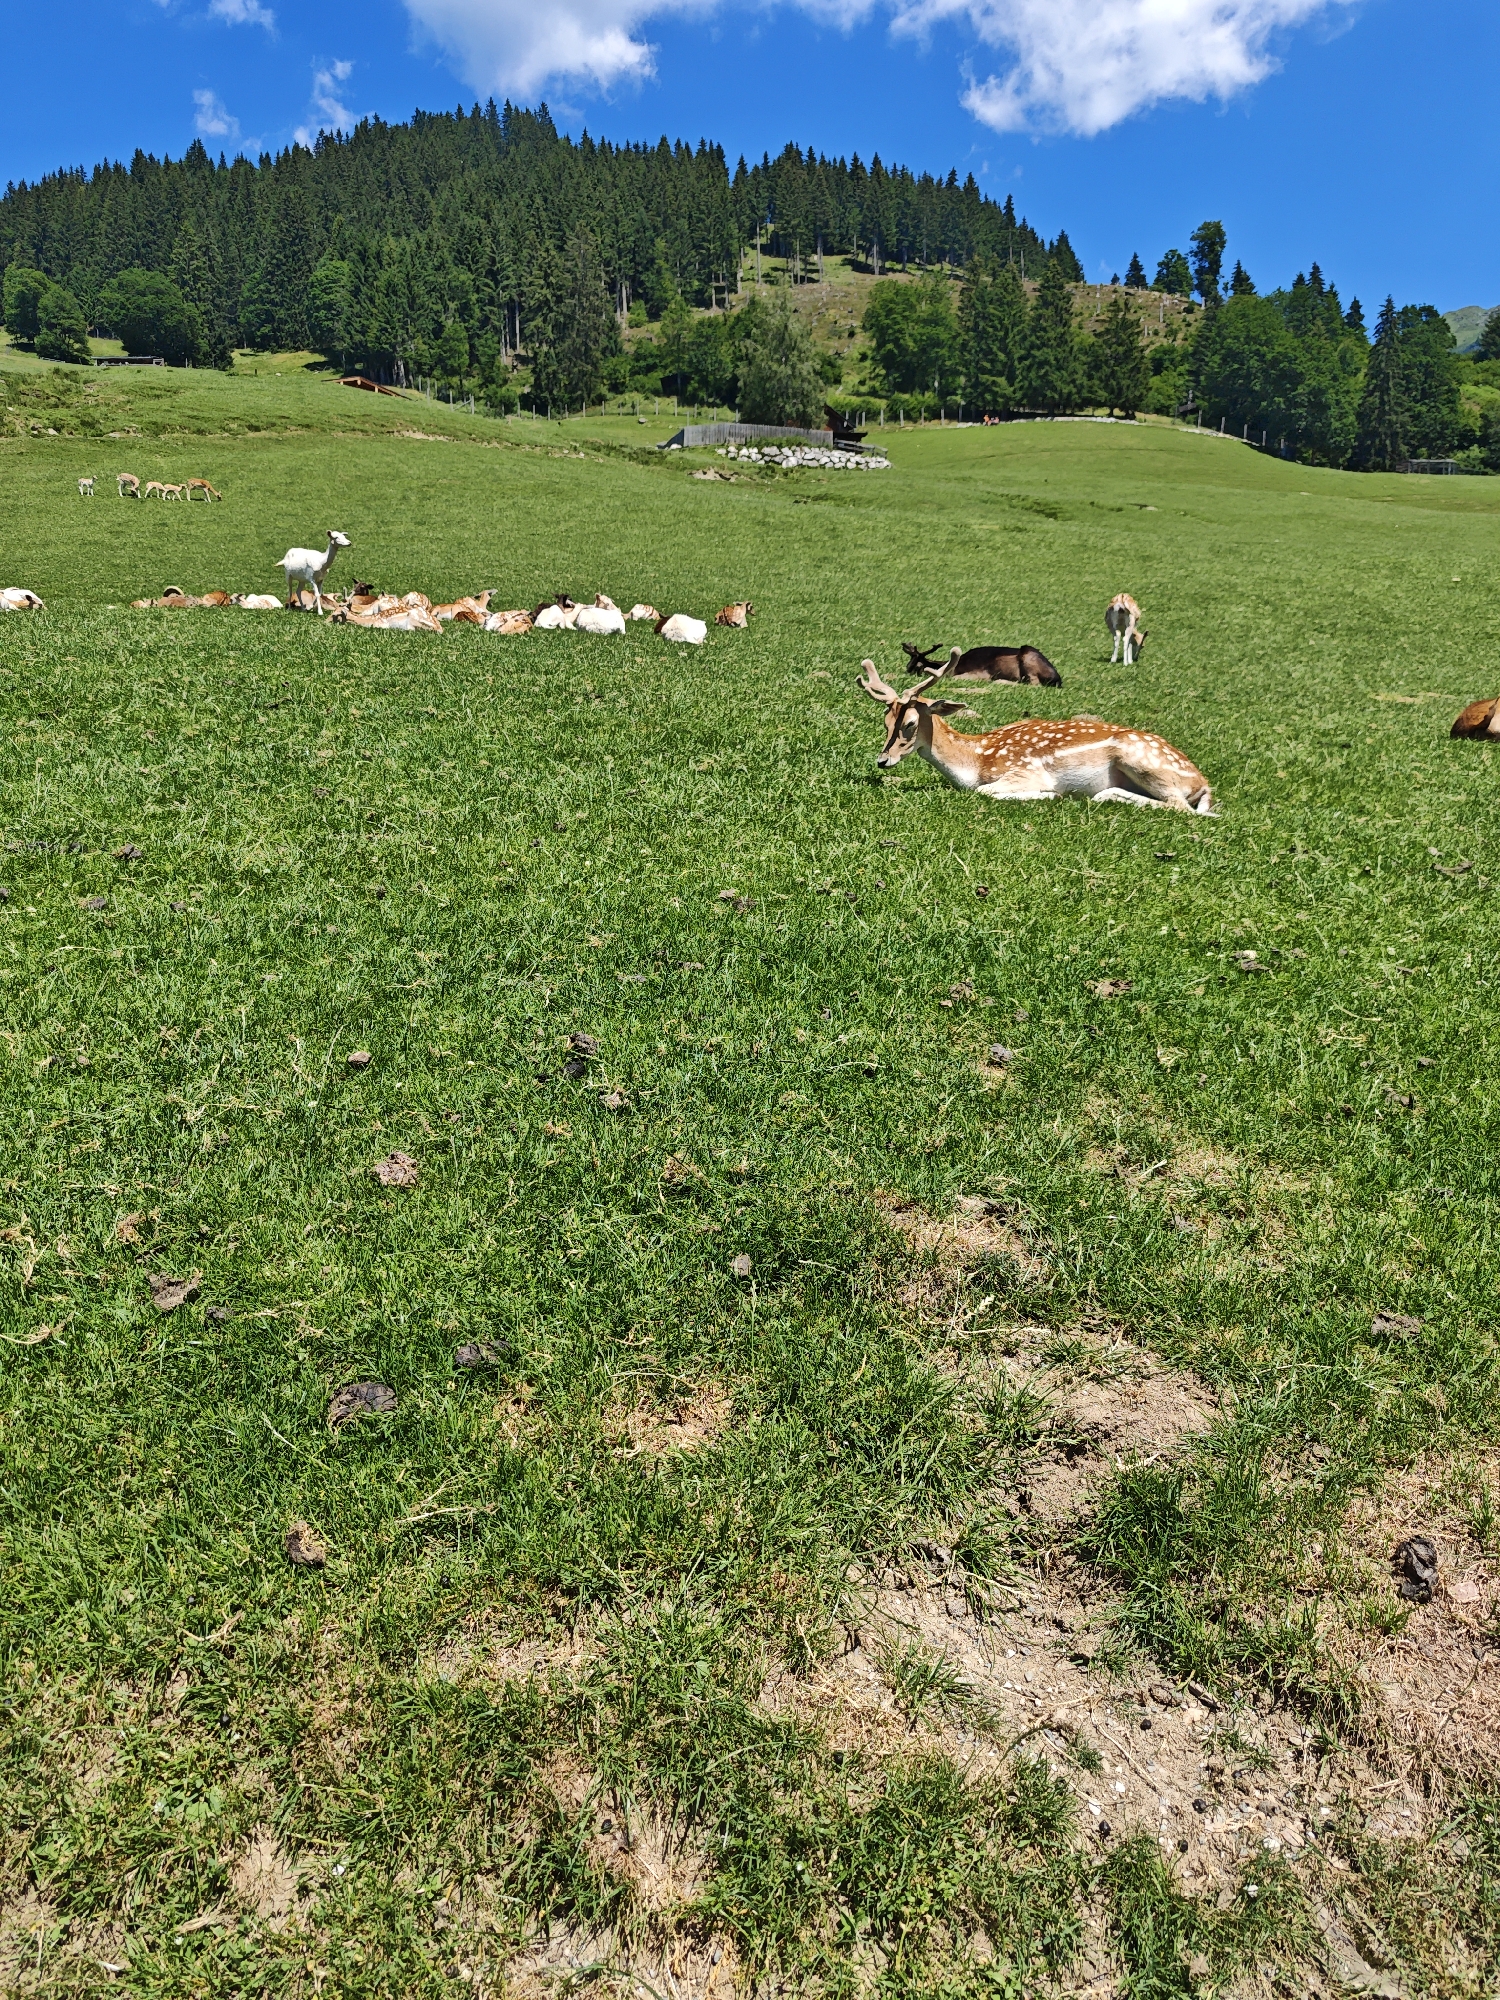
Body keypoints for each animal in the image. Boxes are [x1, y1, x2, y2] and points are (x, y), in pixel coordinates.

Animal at [856, 656, 1213, 812]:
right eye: (885, 722)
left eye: (910, 723)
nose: (882, 760)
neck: (976, 760)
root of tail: (1202, 783)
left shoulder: (1023, 771)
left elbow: (984, 791)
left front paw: (1050, 795)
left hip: (1141, 761)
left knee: (1180, 807)